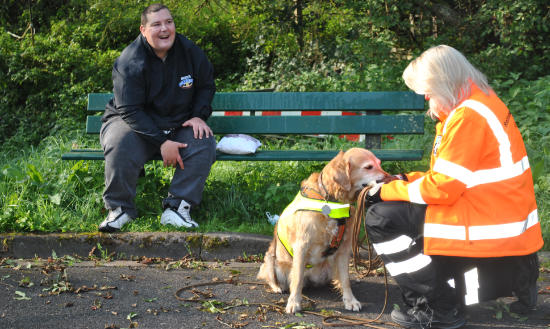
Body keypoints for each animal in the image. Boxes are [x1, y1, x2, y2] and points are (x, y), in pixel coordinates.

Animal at [258, 147, 390, 312]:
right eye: (368, 167)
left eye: (379, 164)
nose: (389, 178)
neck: (331, 200)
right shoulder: (302, 245)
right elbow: (297, 278)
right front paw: (294, 302)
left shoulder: (344, 249)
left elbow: (345, 279)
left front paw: (350, 300)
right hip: (271, 260)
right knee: (271, 276)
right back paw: (277, 287)